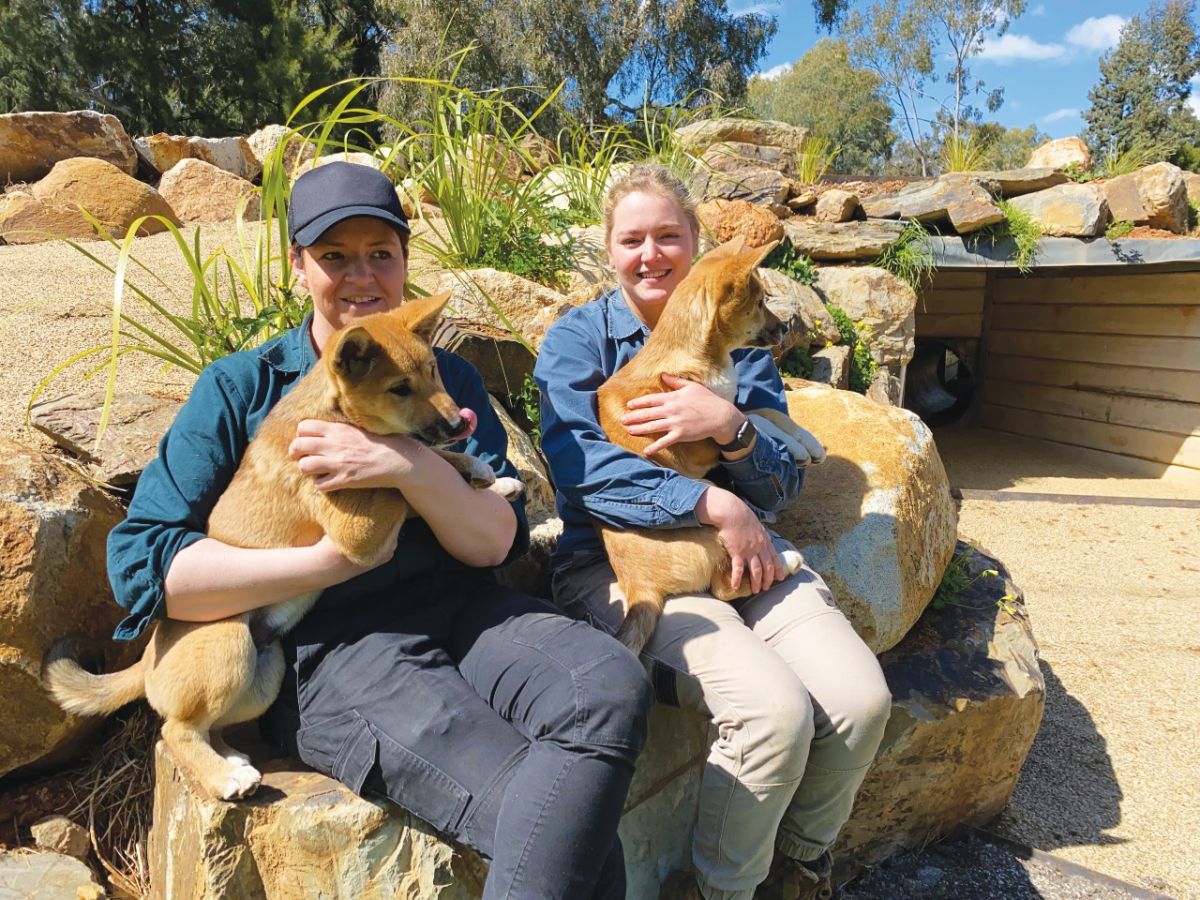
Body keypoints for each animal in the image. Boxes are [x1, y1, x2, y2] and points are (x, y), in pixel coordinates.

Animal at [43, 296, 520, 801]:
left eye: (433, 370)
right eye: (399, 389)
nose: (458, 423)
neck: (335, 416)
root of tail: (147, 659)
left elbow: (428, 460)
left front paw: (488, 477)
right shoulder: (359, 529)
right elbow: (402, 480)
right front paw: (472, 473)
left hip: (263, 675)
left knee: (208, 727)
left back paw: (231, 760)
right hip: (228, 644)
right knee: (176, 730)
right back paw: (226, 777)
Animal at [600, 240, 825, 657]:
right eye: (759, 302)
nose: (785, 328)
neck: (693, 352)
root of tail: (639, 588)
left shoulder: (722, 411)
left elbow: (754, 410)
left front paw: (804, 440)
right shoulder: (700, 444)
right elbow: (749, 414)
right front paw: (799, 445)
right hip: (714, 517)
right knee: (724, 587)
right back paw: (787, 560)